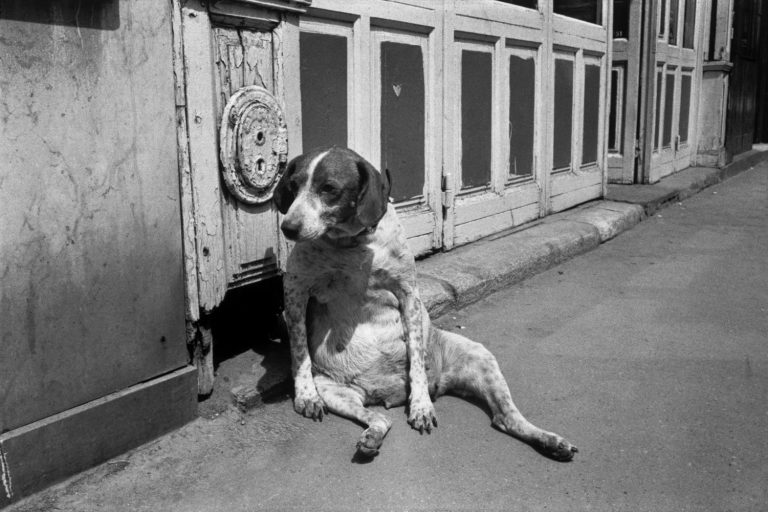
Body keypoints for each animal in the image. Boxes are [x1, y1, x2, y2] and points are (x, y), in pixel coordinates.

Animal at [272, 147, 580, 460]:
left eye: (329, 188)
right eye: (293, 186)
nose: (288, 228)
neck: (351, 244)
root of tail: (382, 394)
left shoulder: (409, 295)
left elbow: (416, 357)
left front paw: (420, 406)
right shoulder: (295, 293)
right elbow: (300, 352)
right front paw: (305, 395)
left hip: (481, 357)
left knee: (507, 418)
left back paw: (550, 440)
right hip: (335, 390)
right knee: (382, 420)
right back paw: (371, 436)